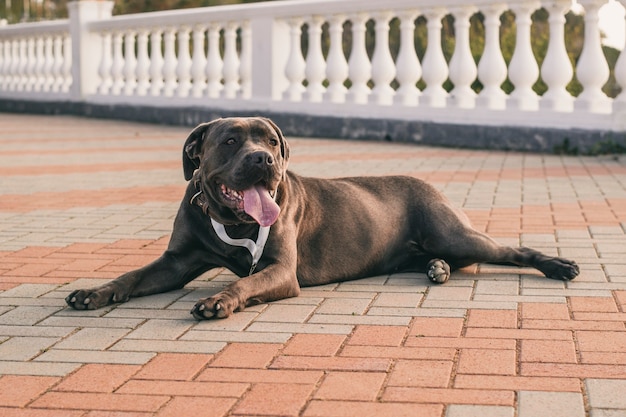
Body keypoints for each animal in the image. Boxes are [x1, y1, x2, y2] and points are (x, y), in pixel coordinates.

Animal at [66, 117, 576, 318]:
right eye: (230, 140)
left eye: (271, 141)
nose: (263, 159)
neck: (230, 221)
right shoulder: (175, 261)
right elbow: (131, 276)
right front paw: (94, 292)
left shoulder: (279, 270)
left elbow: (246, 282)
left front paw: (220, 301)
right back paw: (437, 269)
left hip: (454, 233)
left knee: (510, 249)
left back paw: (559, 265)